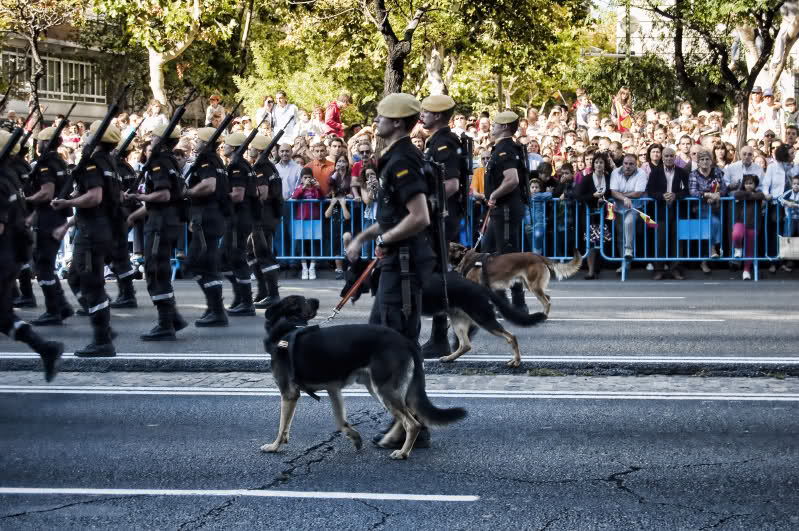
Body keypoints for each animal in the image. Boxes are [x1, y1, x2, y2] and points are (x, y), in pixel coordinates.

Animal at [262, 296, 468, 462]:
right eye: (302, 300)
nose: (316, 301)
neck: (290, 327)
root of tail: (405, 342)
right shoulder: (333, 389)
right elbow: (340, 420)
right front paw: (354, 436)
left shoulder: (289, 394)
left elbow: (282, 425)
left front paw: (274, 446)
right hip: (379, 389)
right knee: (409, 416)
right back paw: (391, 440)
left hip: (383, 390)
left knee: (412, 423)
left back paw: (403, 452)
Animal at [344, 260, 552, 368]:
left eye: (349, 277)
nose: (342, 294)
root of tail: (479, 287)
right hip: (458, 319)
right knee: (465, 344)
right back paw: (448, 358)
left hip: (482, 317)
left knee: (511, 336)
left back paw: (516, 360)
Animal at [450, 244, 580, 318]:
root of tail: (538, 256)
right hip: (531, 285)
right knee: (547, 298)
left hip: (534, 286)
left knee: (546, 302)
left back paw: (543, 316)